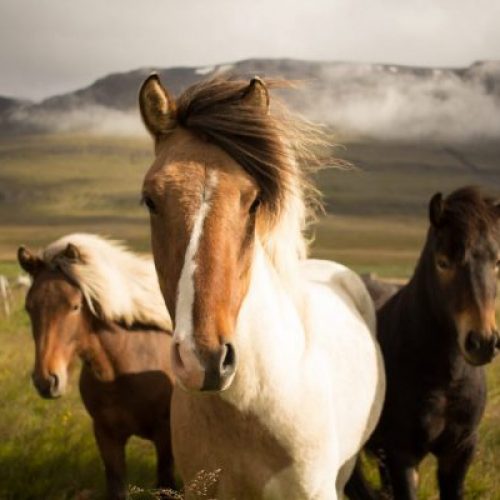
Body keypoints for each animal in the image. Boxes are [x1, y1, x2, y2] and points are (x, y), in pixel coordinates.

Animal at [17, 234, 177, 500]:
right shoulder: (106, 436)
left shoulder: (165, 436)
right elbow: (117, 487)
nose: (46, 381)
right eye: (29, 307)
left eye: (74, 306)